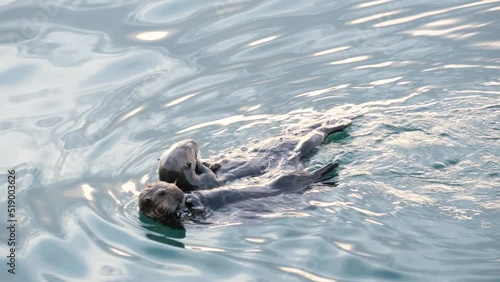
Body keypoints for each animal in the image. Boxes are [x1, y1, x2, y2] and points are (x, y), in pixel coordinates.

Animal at [139, 161, 338, 225]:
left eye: (170, 184)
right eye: (162, 193)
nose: (180, 194)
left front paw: (190, 198)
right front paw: (188, 203)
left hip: (287, 177)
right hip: (295, 182)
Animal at [157, 118, 352, 191]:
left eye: (184, 144)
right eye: (189, 149)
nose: (194, 141)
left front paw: (213, 162)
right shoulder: (206, 182)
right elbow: (210, 176)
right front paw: (203, 164)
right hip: (306, 145)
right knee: (316, 137)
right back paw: (341, 124)